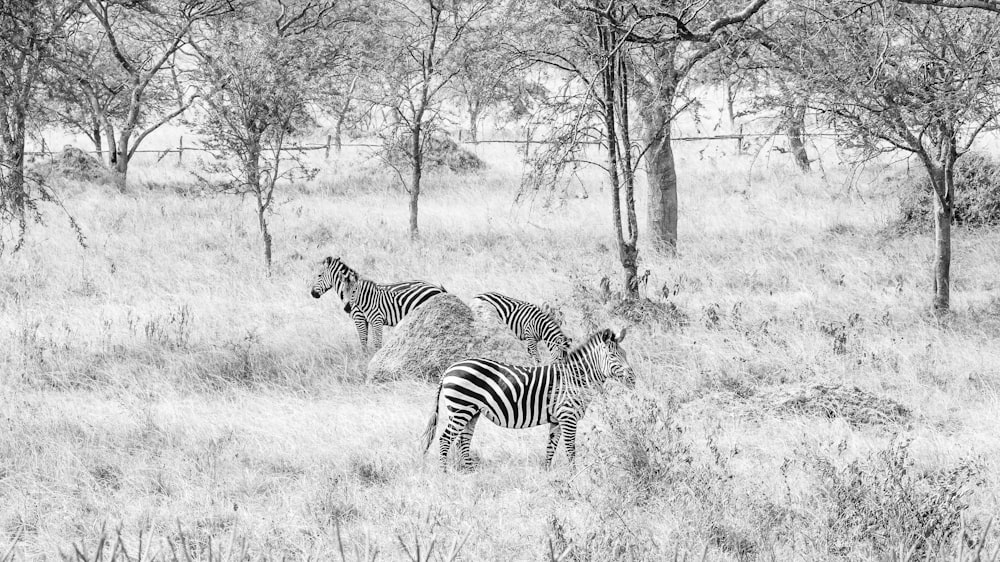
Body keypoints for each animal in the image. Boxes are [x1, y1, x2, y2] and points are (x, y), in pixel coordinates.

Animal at [308, 255, 442, 350]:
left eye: (319, 275)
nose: (312, 294)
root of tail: (436, 287)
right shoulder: (366, 319)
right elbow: (367, 340)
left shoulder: (359, 318)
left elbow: (363, 341)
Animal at [422, 326, 632, 470]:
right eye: (613, 355)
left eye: (625, 354)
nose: (632, 378)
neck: (574, 378)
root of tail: (450, 369)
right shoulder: (568, 416)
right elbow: (570, 450)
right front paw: (574, 476)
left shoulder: (557, 419)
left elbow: (550, 448)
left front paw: (547, 473)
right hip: (461, 408)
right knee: (445, 439)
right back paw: (445, 473)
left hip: (471, 411)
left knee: (463, 441)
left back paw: (470, 472)